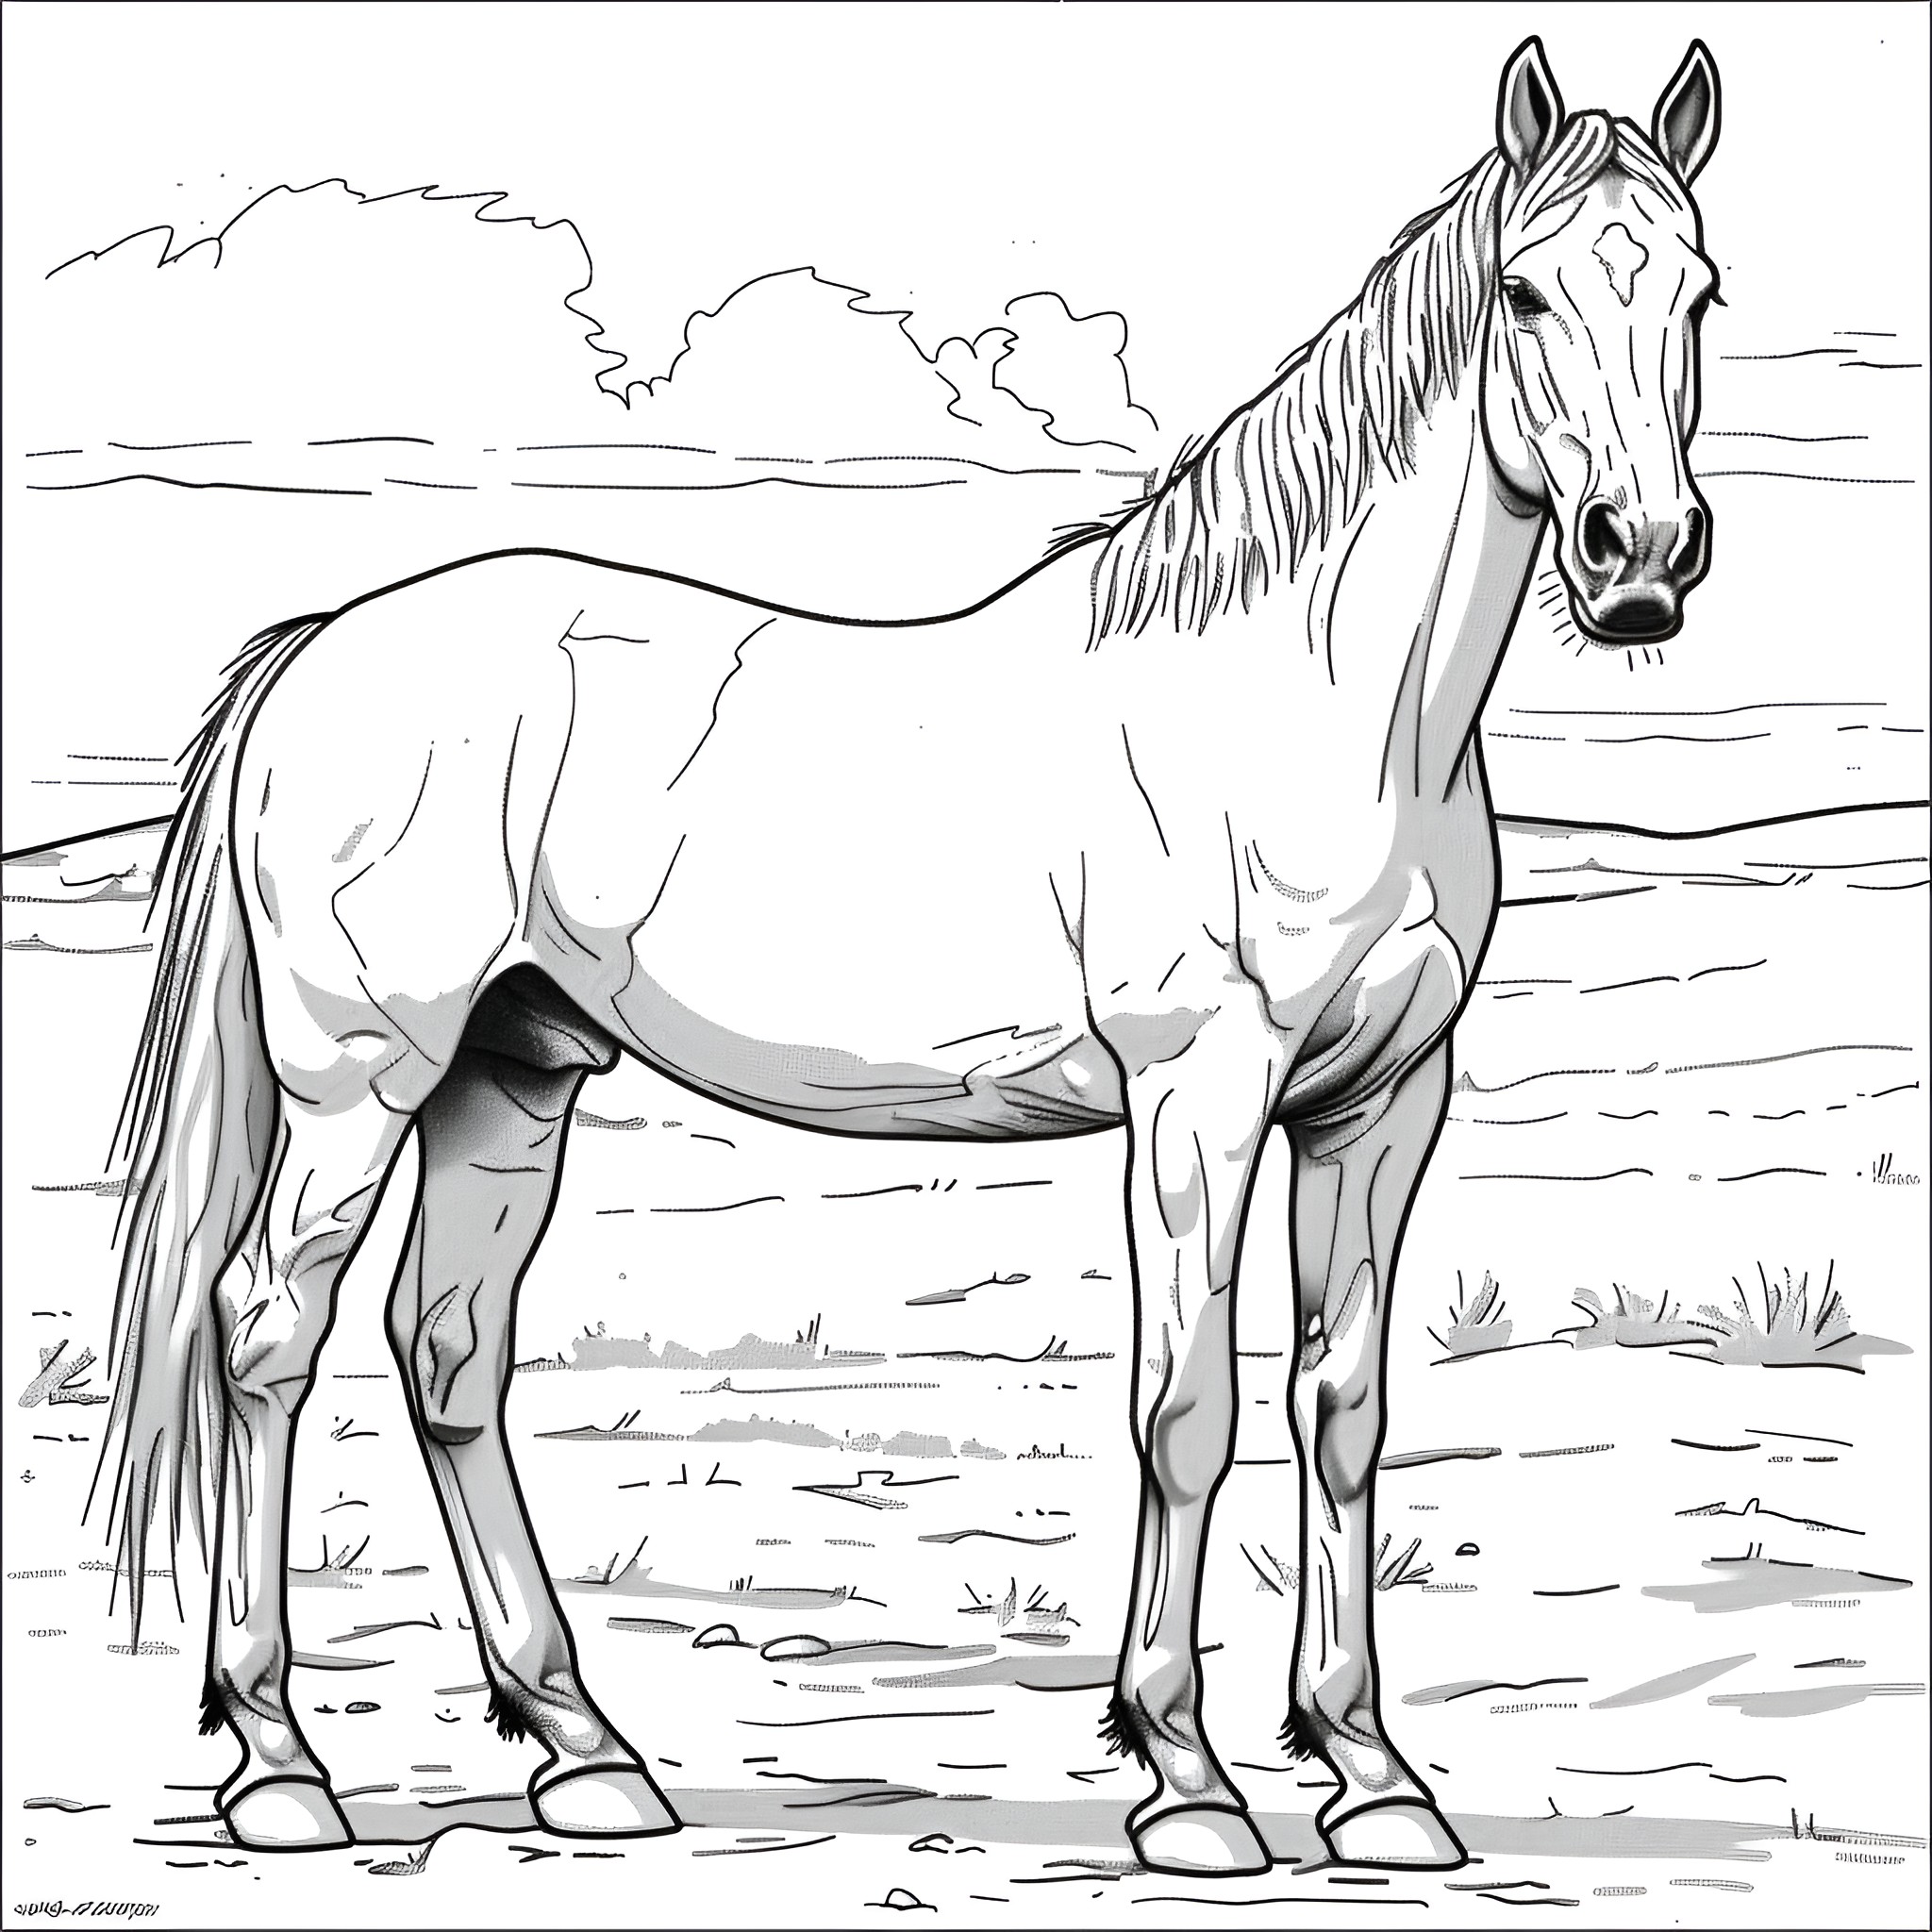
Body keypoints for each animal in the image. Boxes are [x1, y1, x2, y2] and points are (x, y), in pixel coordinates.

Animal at [97, 36, 1721, 1876]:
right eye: (1522, 290)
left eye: (1697, 294)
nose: (1640, 560)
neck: (1311, 708)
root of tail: (322, 647)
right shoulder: (1199, 1094)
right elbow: (1186, 1407)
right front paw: (1187, 1782)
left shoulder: (1381, 1104)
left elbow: (1345, 1406)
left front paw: (1374, 1779)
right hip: (362, 1077)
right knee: (261, 1331)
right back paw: (279, 1766)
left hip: (510, 1079)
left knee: (449, 1353)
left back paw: (586, 1754)